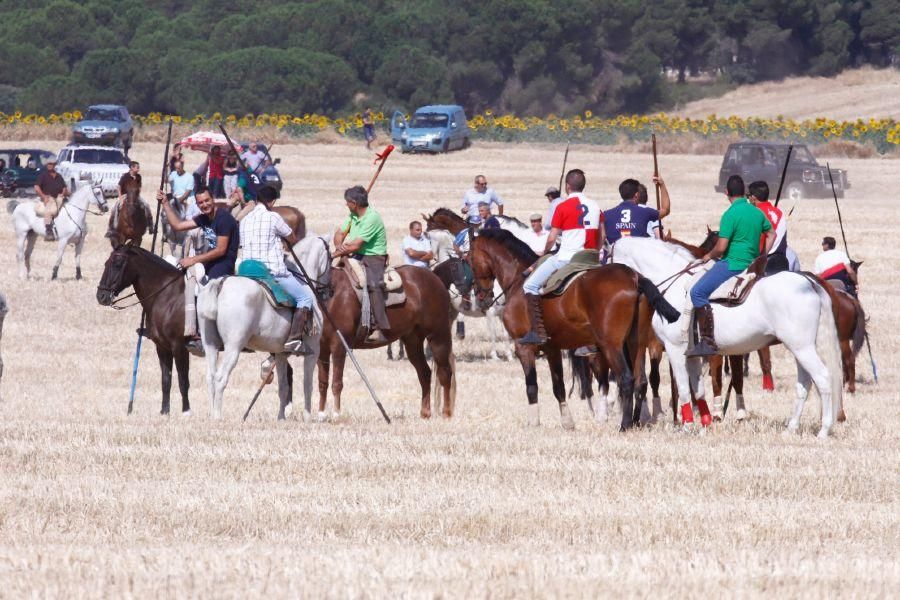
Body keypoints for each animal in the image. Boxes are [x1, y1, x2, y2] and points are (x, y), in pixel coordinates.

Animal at [95, 246, 192, 414]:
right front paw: (164, 412)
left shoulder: (179, 346)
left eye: (117, 265)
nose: (101, 296)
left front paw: (186, 412)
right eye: (106, 263)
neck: (167, 296)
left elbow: (183, 381)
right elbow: (166, 380)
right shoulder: (162, 347)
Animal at [197, 232, 330, 420]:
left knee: (210, 377)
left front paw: (281, 418)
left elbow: (283, 387)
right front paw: (307, 418)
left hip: (210, 344)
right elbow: (307, 385)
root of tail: (220, 285)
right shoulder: (313, 349)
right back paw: (217, 416)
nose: (327, 291)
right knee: (221, 378)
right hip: (233, 346)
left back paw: (211, 416)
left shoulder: (280, 352)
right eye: (331, 257)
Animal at [318, 262, 458, 422]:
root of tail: (436, 279)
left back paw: (446, 413)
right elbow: (322, 382)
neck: (332, 294)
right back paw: (425, 413)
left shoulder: (339, 347)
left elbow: (337, 383)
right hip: (413, 342)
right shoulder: (322, 349)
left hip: (438, 336)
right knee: (425, 373)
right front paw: (321, 414)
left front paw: (336, 415)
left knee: (445, 373)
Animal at [468, 227, 680, 428]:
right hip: (635, 343)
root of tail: (635, 278)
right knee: (640, 380)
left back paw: (625, 424)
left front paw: (533, 422)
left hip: (611, 346)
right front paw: (567, 422)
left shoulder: (523, 347)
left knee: (626, 379)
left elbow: (531, 386)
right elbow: (558, 386)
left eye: (468, 259)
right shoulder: (552, 349)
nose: (480, 296)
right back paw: (636, 421)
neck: (518, 281)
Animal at [608, 237, 848, 438]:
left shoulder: (675, 349)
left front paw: (687, 426)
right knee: (804, 384)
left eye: (607, 256)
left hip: (802, 348)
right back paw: (791, 428)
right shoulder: (692, 354)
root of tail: (810, 283)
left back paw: (824, 430)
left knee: (823, 378)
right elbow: (698, 389)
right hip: (799, 348)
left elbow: (684, 390)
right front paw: (705, 423)